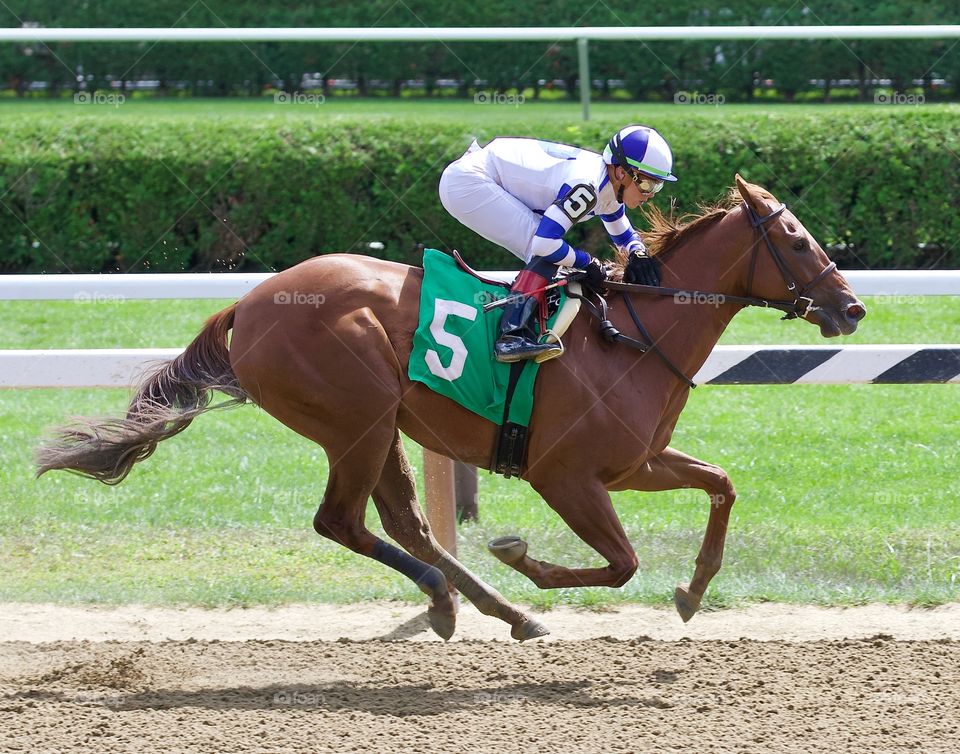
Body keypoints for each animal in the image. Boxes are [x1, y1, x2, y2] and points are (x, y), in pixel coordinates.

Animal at [35, 176, 864, 640]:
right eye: (796, 240)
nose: (851, 307)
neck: (633, 333)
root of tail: (251, 301)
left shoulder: (637, 463)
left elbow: (721, 484)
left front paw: (692, 591)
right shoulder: (564, 477)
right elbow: (621, 562)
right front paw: (523, 557)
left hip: (379, 428)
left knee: (404, 523)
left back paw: (493, 611)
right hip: (357, 421)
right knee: (343, 522)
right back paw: (456, 600)